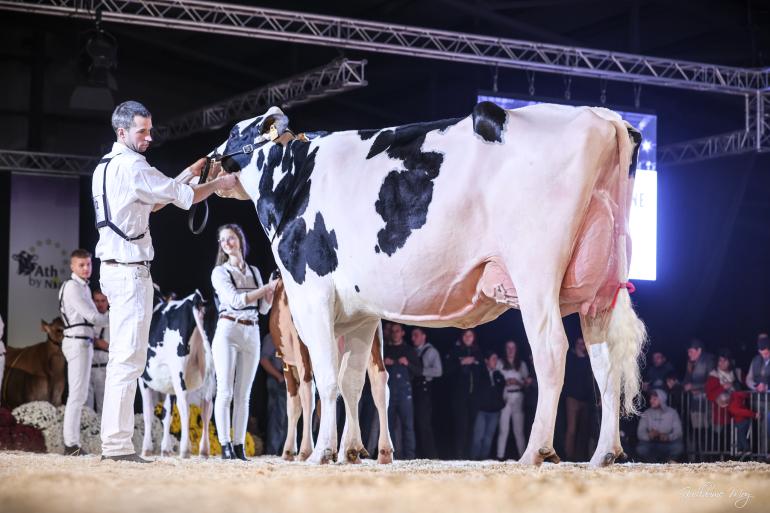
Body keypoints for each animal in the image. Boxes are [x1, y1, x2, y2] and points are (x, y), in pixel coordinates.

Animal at [138, 290, 214, 458]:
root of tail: (194, 299)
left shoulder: (142, 379)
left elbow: (148, 413)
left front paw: (146, 449)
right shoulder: (169, 385)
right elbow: (167, 415)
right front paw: (165, 449)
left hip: (178, 371)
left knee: (185, 406)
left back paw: (185, 450)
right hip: (210, 372)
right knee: (206, 407)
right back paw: (204, 450)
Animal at [207, 102, 644, 466]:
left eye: (233, 132)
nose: (209, 160)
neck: (296, 177)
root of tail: (604, 117)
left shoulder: (311, 294)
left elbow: (327, 380)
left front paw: (322, 453)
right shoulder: (360, 315)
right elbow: (352, 381)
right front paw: (350, 452)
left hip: (535, 273)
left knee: (551, 350)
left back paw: (535, 452)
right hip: (601, 289)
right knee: (606, 364)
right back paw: (605, 454)